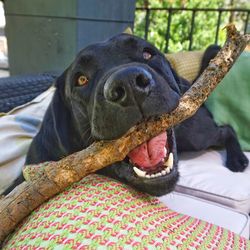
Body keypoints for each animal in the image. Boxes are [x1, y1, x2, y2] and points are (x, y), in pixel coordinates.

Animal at [3, 35, 248, 196]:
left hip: (194, 134)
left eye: (148, 53)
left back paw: (237, 159)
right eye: (81, 79)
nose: (129, 84)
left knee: (226, 129)